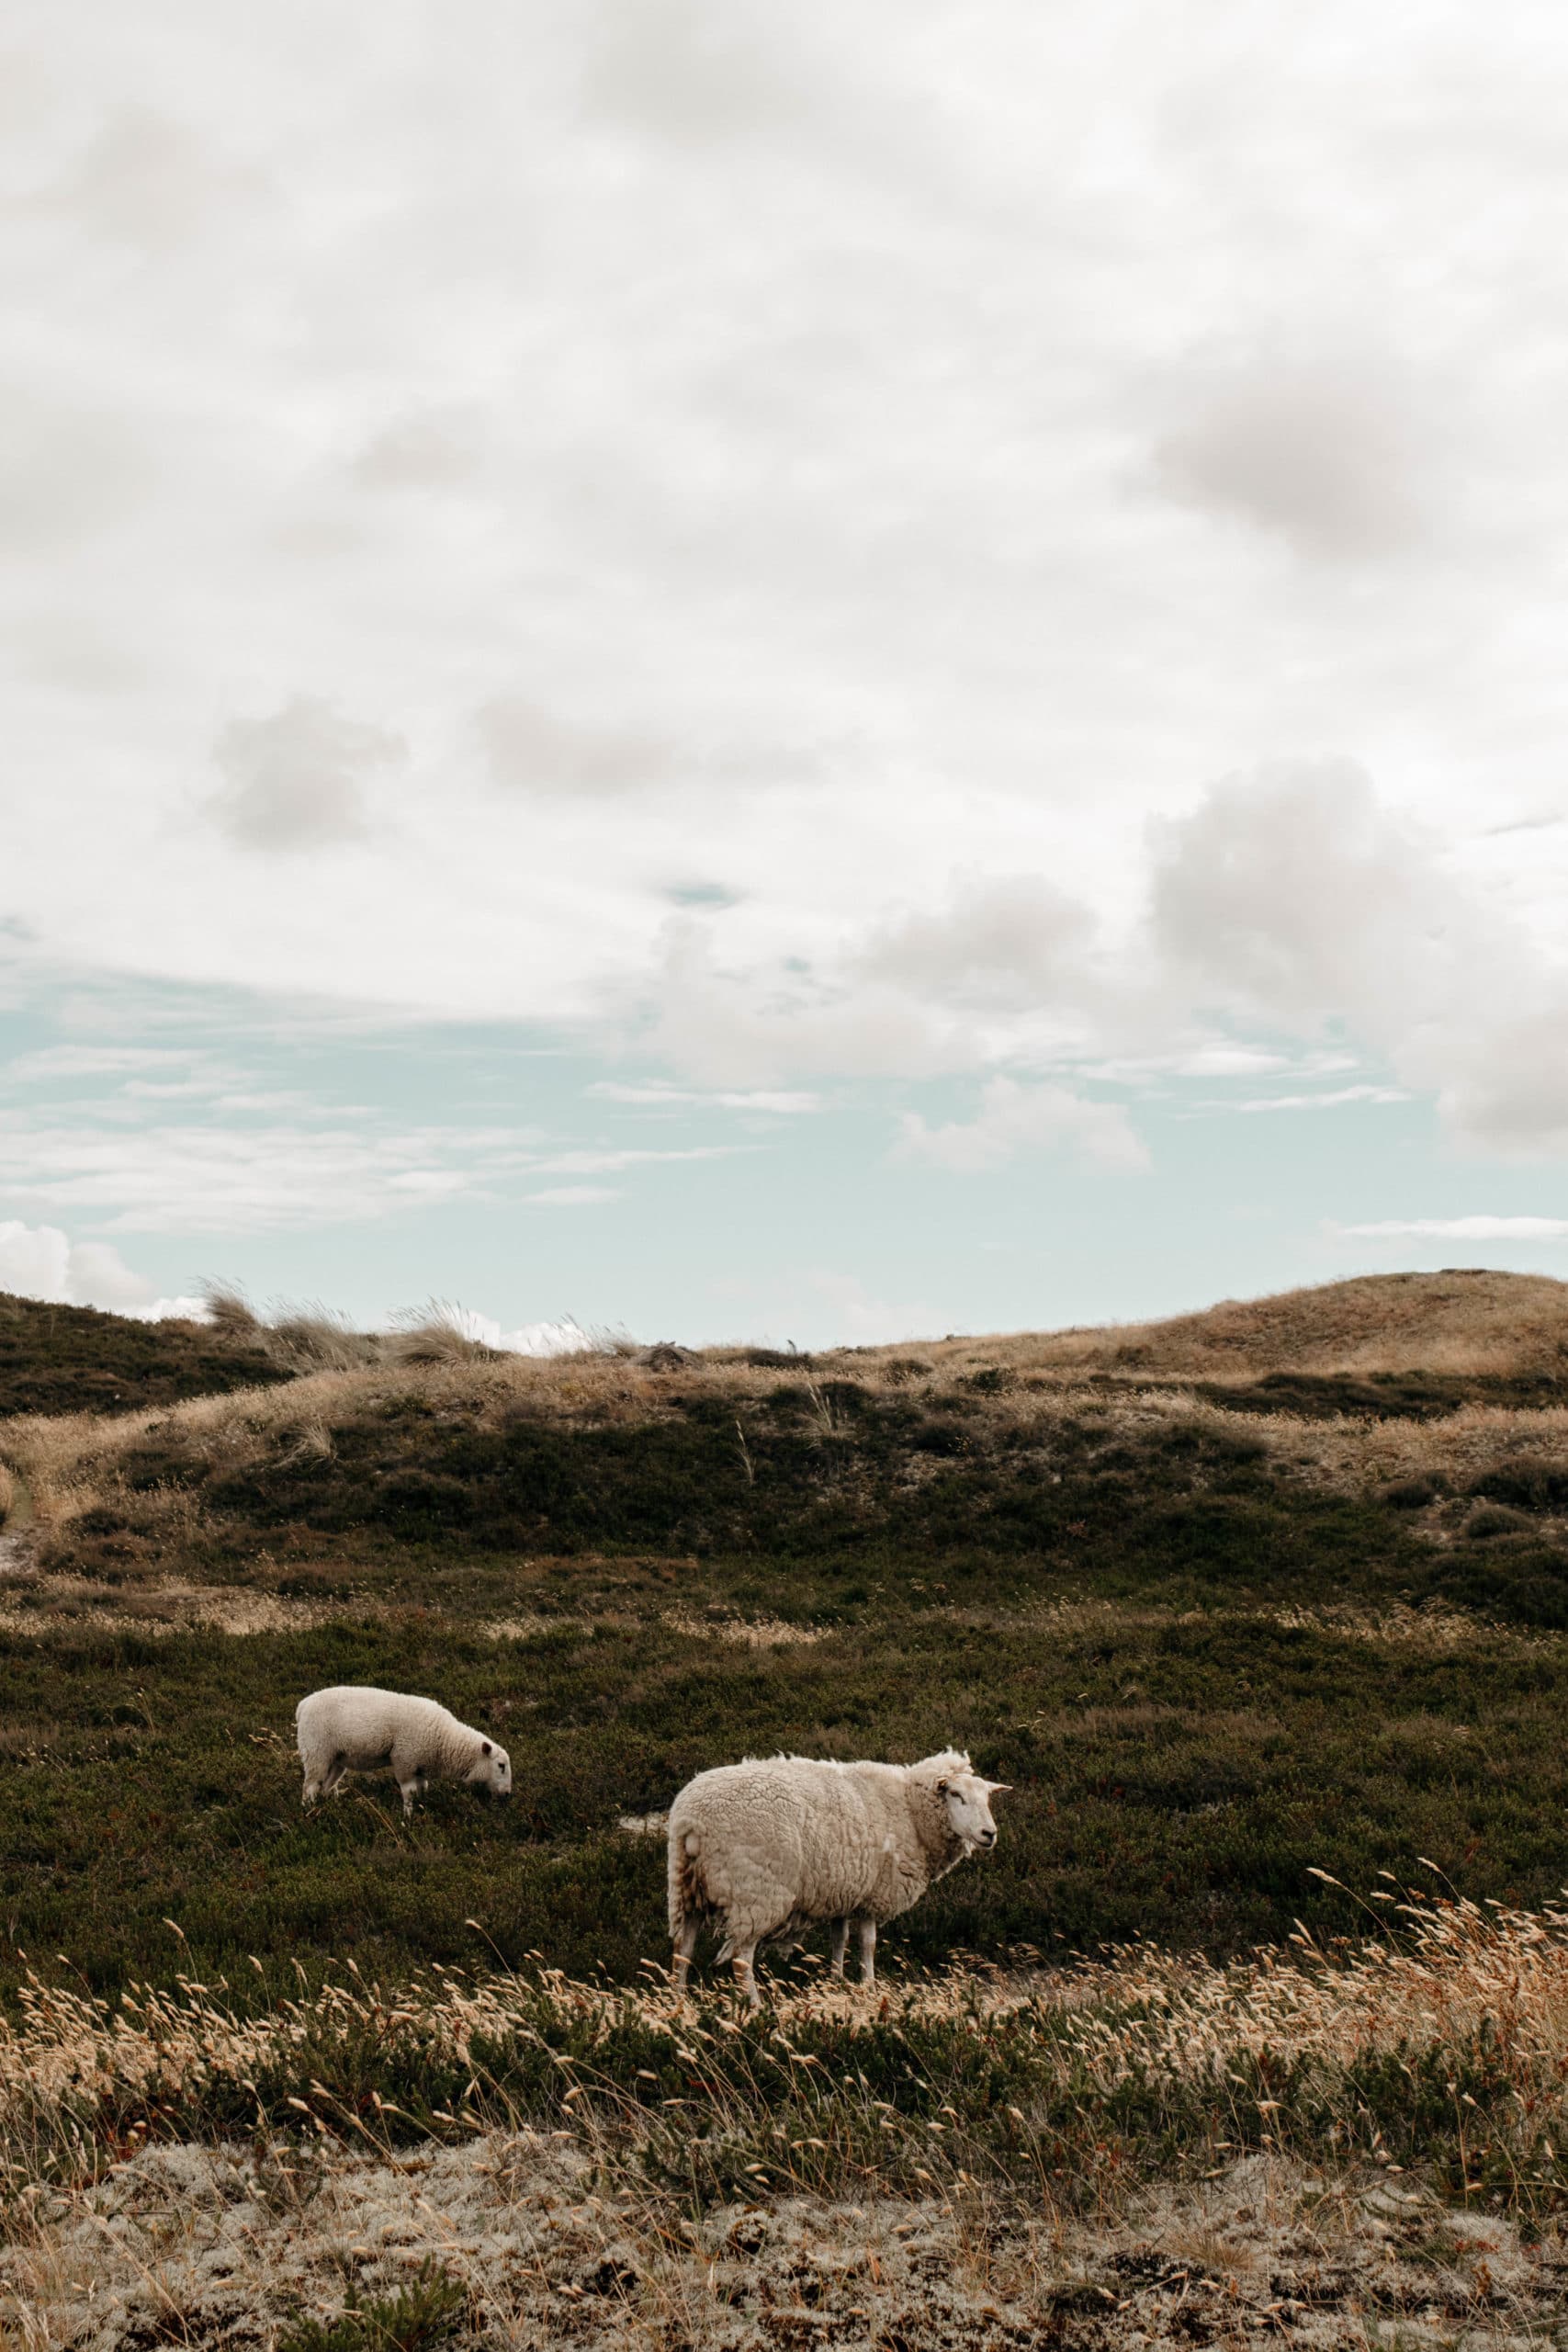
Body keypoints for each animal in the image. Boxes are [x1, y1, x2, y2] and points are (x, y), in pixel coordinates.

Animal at [296, 1683, 514, 1825]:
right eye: (501, 1765)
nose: (507, 1794)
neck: (444, 1739)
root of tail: (303, 1704)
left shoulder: (420, 1766)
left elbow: (422, 1789)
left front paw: (422, 1808)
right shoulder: (405, 1761)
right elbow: (408, 1792)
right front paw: (407, 1817)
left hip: (336, 1758)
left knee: (326, 1785)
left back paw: (331, 1808)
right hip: (316, 1750)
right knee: (310, 1786)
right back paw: (308, 1812)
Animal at [667, 1749, 1010, 2004]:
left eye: (987, 1798)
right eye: (955, 1794)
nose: (989, 1834)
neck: (909, 1811)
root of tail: (691, 1819)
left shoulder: (844, 1891)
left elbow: (839, 1940)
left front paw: (836, 1982)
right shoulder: (875, 1893)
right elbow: (868, 1943)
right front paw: (869, 1986)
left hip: (687, 1888)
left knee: (683, 1950)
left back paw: (679, 2002)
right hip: (756, 1892)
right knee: (741, 1958)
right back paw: (756, 2008)